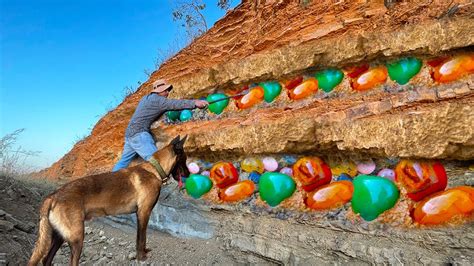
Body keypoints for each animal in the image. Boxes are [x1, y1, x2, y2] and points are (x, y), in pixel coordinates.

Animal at [28, 136, 189, 264]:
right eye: (185, 159)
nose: (189, 174)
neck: (154, 169)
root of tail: (53, 196)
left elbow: (140, 240)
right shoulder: (144, 213)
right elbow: (141, 239)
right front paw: (141, 257)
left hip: (59, 237)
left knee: (46, 259)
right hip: (77, 238)